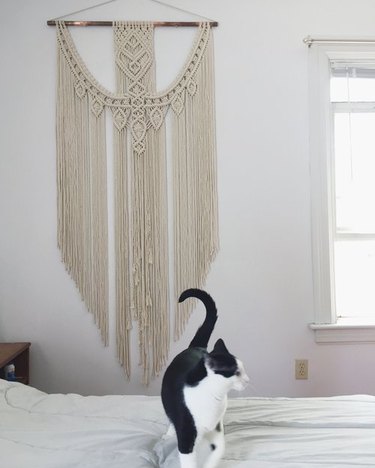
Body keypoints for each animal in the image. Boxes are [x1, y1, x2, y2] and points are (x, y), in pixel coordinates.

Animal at [162, 288, 250, 468]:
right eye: (236, 372)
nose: (248, 380)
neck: (213, 397)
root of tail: (196, 347)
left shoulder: (216, 429)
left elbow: (219, 449)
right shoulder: (186, 435)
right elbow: (189, 460)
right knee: (170, 416)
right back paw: (169, 432)